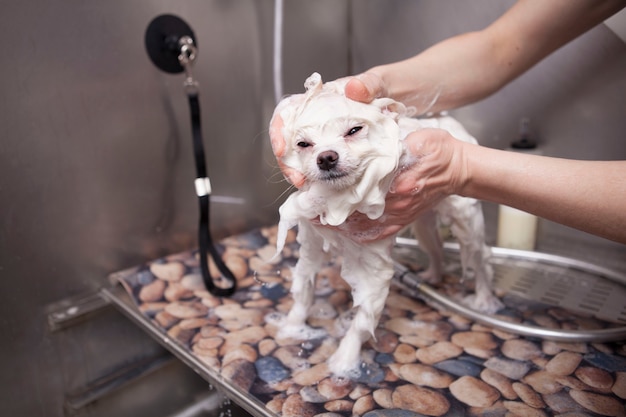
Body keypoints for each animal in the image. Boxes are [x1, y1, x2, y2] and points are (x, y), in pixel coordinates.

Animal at [270, 72, 500, 376]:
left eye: (354, 130)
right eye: (303, 144)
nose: (326, 157)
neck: (340, 202)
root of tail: (450, 123)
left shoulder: (374, 270)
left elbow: (362, 320)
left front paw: (344, 361)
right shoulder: (311, 245)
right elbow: (304, 292)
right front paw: (292, 327)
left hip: (466, 219)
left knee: (480, 257)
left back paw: (484, 299)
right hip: (423, 222)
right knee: (436, 248)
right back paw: (432, 276)